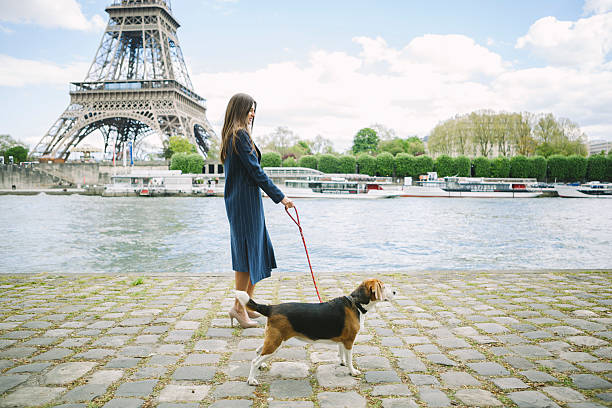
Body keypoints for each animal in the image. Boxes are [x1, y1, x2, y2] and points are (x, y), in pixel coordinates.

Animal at [234, 278, 396, 386]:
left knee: (258, 351)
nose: (395, 291)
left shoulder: (342, 341)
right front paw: (352, 371)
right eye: (383, 286)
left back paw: (261, 366)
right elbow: (350, 359)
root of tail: (271, 308)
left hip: (273, 340)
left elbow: (342, 354)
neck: (356, 303)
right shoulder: (349, 341)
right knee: (254, 361)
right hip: (276, 343)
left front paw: (342, 363)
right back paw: (251, 380)